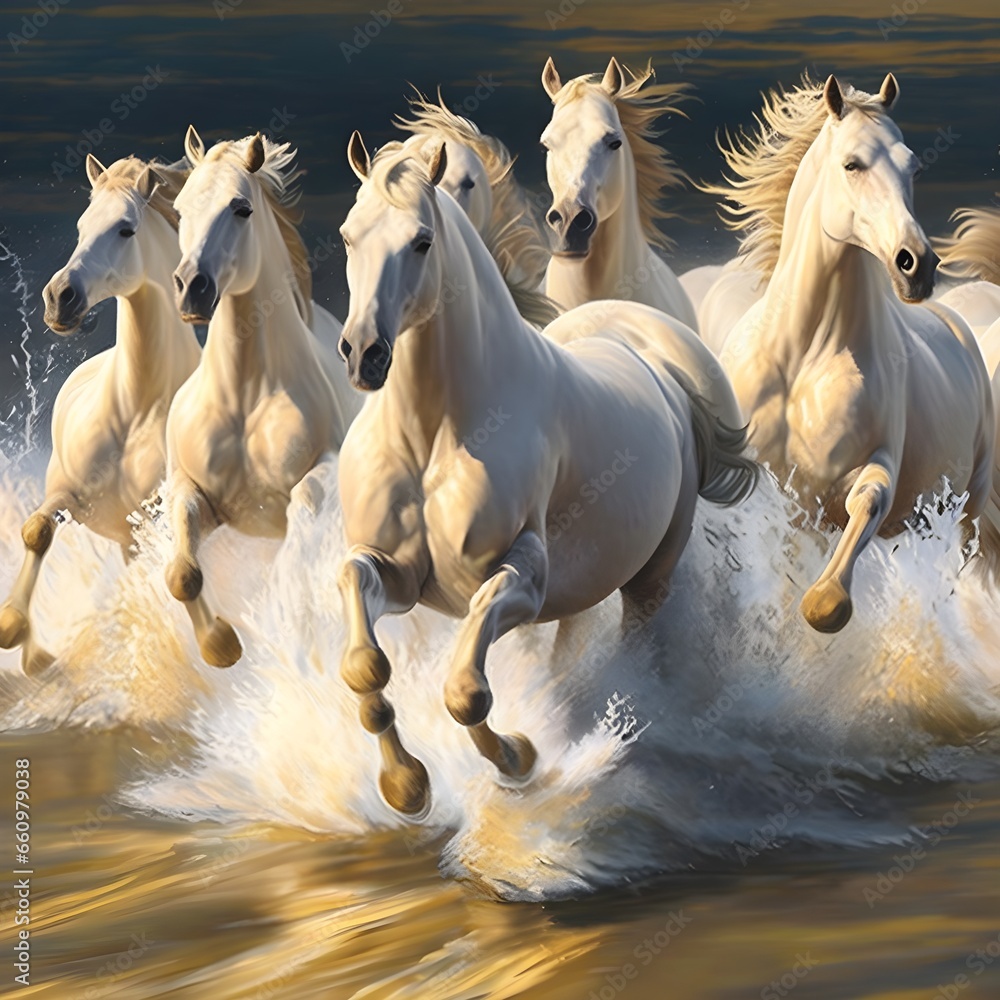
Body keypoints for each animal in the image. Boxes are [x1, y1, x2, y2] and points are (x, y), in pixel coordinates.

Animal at [0, 155, 200, 675]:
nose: (59, 297)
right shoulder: (64, 492)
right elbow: (36, 531)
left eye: (125, 229)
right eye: (80, 226)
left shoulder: (152, 513)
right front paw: (17, 632)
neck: (136, 410)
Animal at [165, 128, 357, 668]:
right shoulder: (194, 491)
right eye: (181, 207)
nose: (191, 287)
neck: (244, 399)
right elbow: (182, 573)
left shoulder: (323, 470)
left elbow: (303, 513)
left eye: (241, 208)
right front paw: (221, 645)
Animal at [334, 135, 756, 815]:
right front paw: (407, 785)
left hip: (650, 577)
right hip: (576, 595)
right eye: (348, 236)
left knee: (634, 645)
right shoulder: (392, 572)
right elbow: (364, 662)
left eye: (421, 241)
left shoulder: (519, 578)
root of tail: (647, 350)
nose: (364, 354)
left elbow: (466, 692)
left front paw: (520, 759)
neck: (436, 436)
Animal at [707, 72, 999, 631]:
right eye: (852, 164)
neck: (801, 362)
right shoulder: (779, 493)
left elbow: (863, 505)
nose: (917, 265)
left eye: (913, 166)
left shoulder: (874, 464)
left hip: (967, 506)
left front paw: (825, 600)